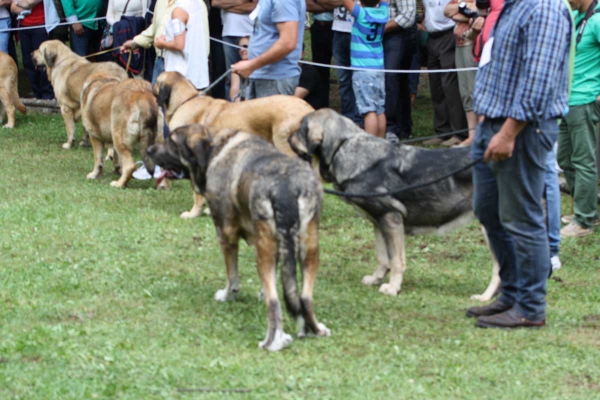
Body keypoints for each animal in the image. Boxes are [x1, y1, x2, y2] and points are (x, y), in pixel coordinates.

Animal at [148, 124, 330, 350]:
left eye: (171, 141)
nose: (149, 150)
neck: (214, 146)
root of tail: (285, 188)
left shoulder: (225, 235)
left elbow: (232, 277)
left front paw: (227, 295)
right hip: (310, 248)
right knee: (305, 297)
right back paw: (316, 329)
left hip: (264, 252)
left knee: (274, 302)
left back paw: (273, 342)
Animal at [288, 109, 500, 300]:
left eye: (300, 128)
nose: (288, 136)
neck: (344, 146)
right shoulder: (378, 222)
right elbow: (383, 258)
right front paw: (376, 278)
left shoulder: (391, 219)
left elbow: (397, 261)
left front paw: (392, 288)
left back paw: (484, 297)